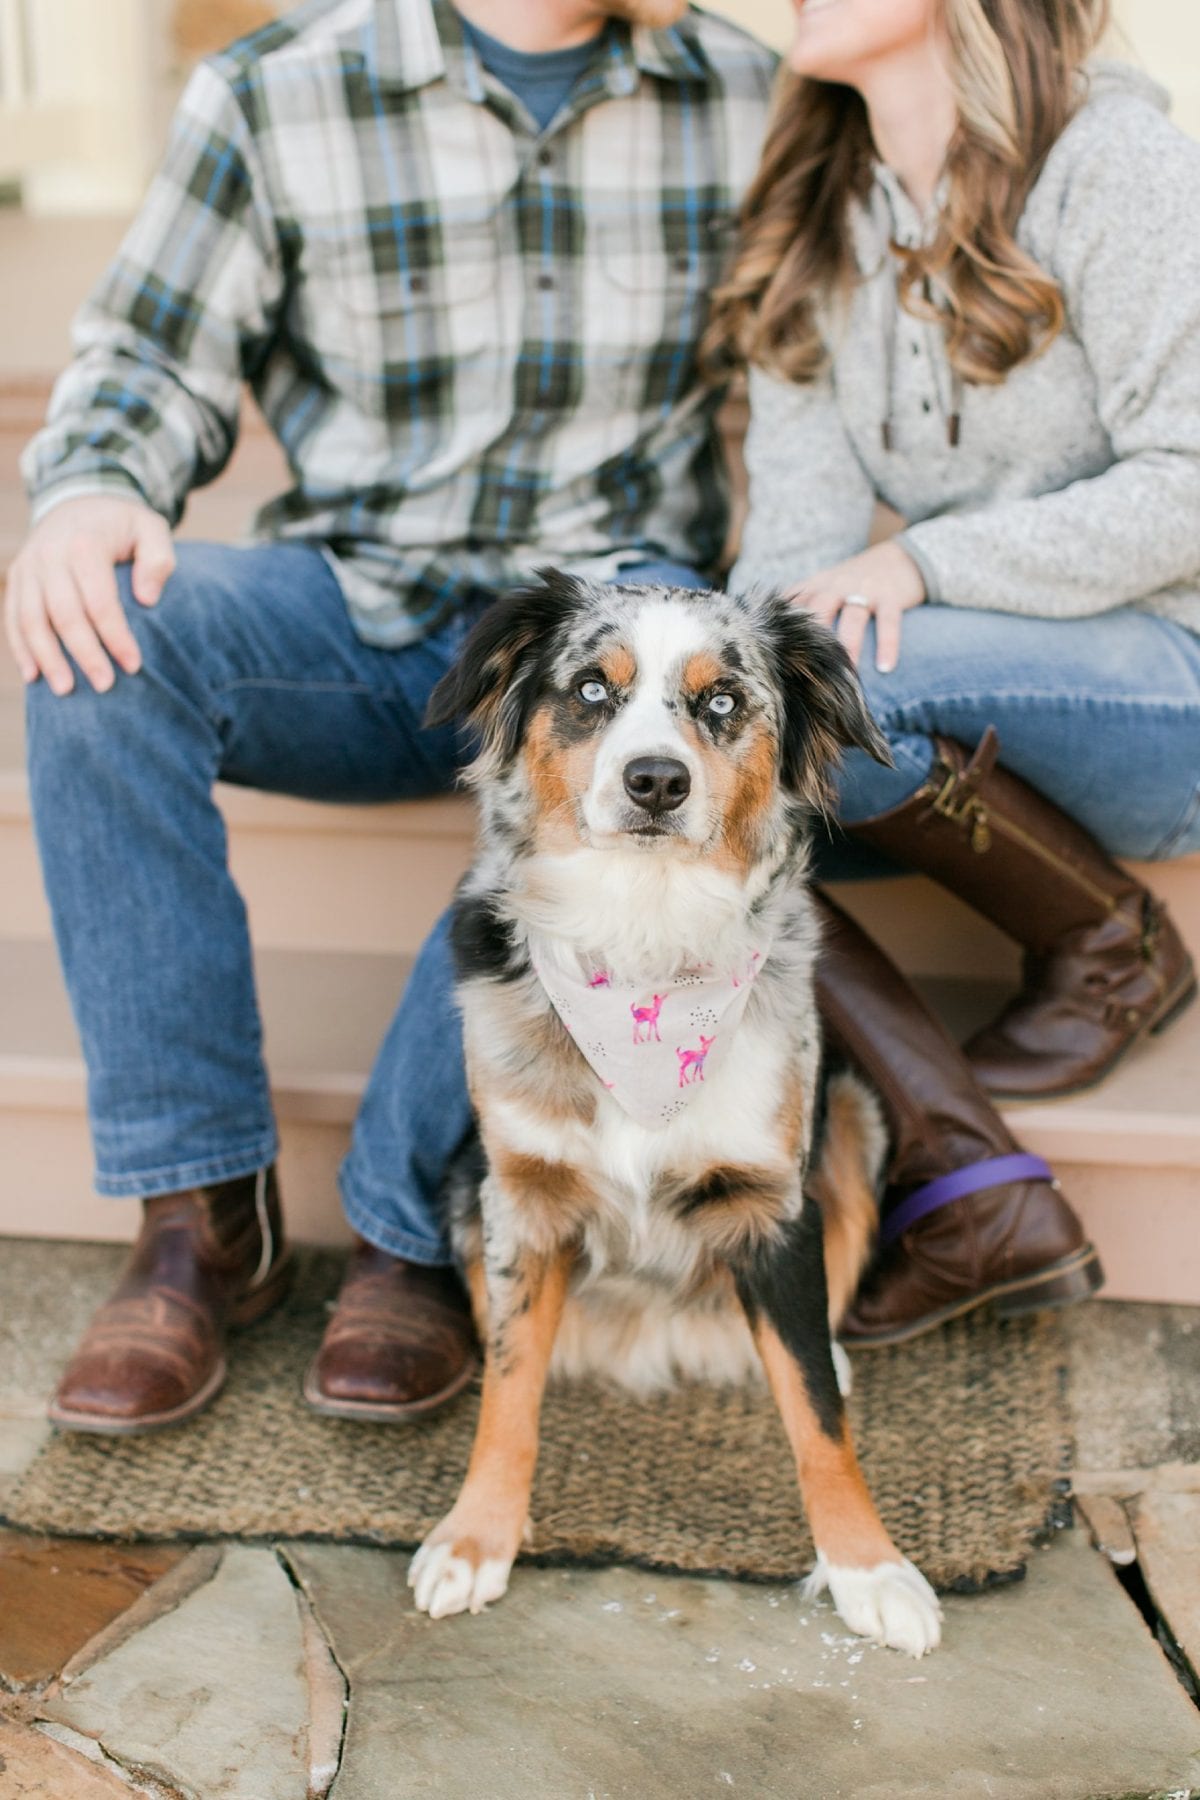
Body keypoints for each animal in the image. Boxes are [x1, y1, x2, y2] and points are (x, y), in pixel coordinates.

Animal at [413, 576, 949, 1656]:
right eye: (589, 689)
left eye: (723, 702)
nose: (656, 780)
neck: (645, 942)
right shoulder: (519, 1197)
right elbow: (508, 1388)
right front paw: (476, 1538)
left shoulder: (777, 1207)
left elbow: (817, 1416)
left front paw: (870, 1569)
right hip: (459, 1184)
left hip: (856, 1121)